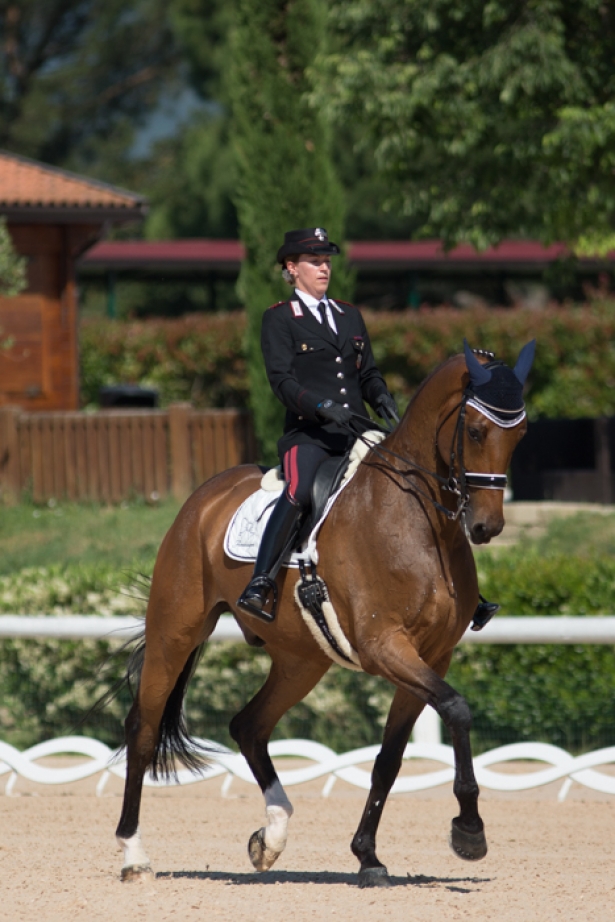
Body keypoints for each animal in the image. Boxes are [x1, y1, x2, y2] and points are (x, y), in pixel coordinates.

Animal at [114, 338, 536, 884]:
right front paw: (469, 831)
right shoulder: (385, 647)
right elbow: (458, 709)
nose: (487, 526)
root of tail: (203, 497)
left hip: (301, 661)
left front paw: (367, 856)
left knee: (248, 726)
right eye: (478, 430)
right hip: (175, 631)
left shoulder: (431, 656)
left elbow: (390, 759)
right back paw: (134, 854)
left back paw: (271, 837)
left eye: (520, 433)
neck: (419, 520)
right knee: (143, 730)